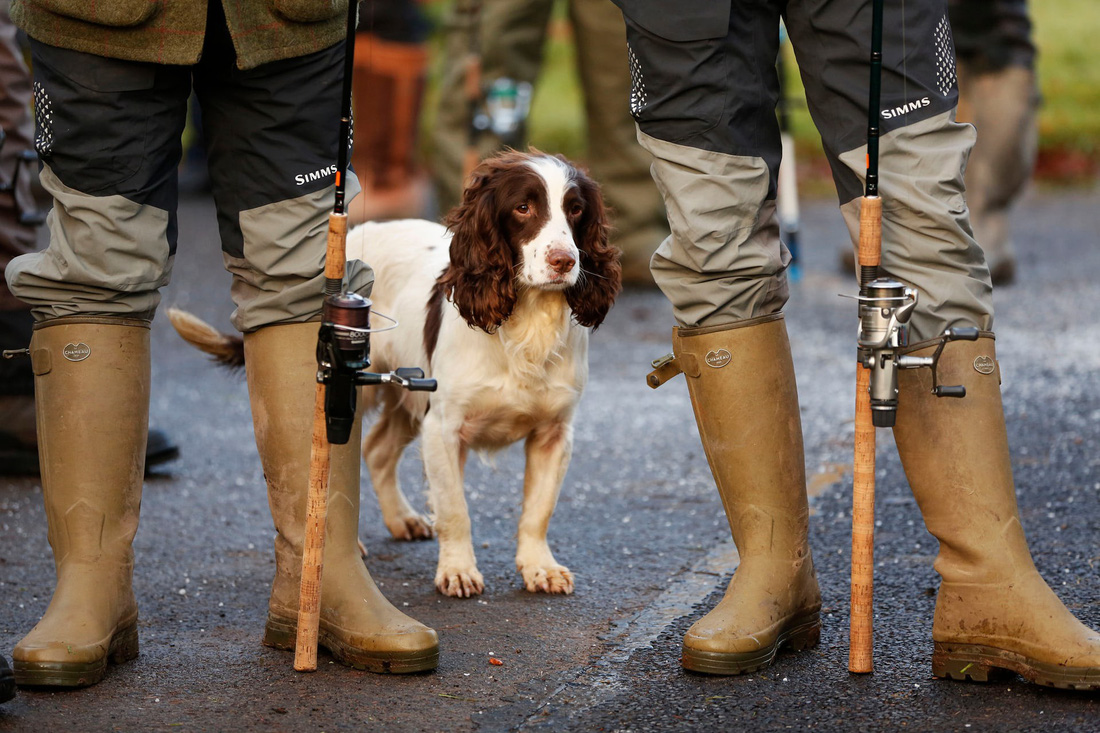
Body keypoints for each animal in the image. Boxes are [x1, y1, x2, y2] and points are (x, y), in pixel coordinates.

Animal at [170, 150, 620, 598]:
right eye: (523, 208)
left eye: (576, 209)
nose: (565, 261)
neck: (526, 323)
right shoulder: (443, 427)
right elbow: (455, 509)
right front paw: (458, 570)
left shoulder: (554, 433)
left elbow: (538, 511)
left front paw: (539, 567)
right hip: (352, 383)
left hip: (406, 387)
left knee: (377, 450)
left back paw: (400, 519)